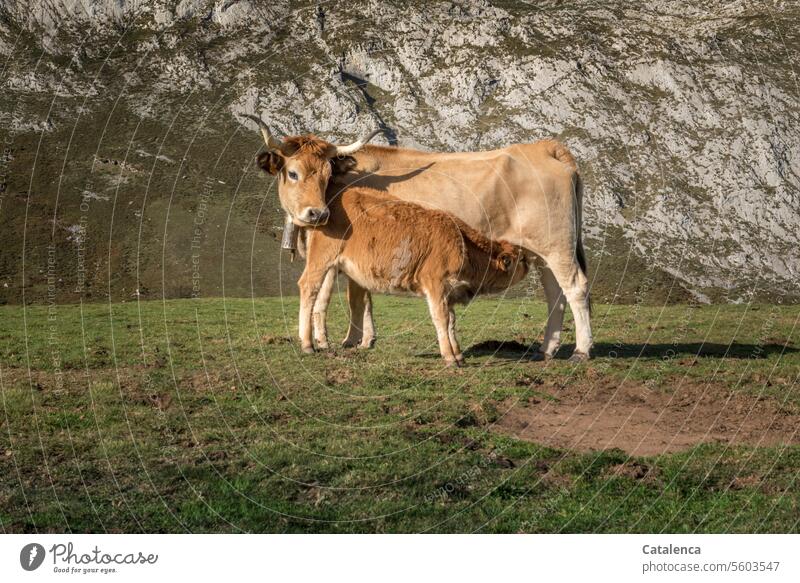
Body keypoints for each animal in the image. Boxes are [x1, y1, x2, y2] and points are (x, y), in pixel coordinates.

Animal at [284, 182, 528, 364]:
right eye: (521, 259)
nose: (531, 262)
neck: (464, 245)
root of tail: (326, 205)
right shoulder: (435, 286)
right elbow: (441, 319)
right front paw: (449, 357)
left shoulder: (448, 293)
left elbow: (451, 321)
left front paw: (458, 355)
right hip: (321, 260)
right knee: (309, 288)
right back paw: (308, 345)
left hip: (334, 267)